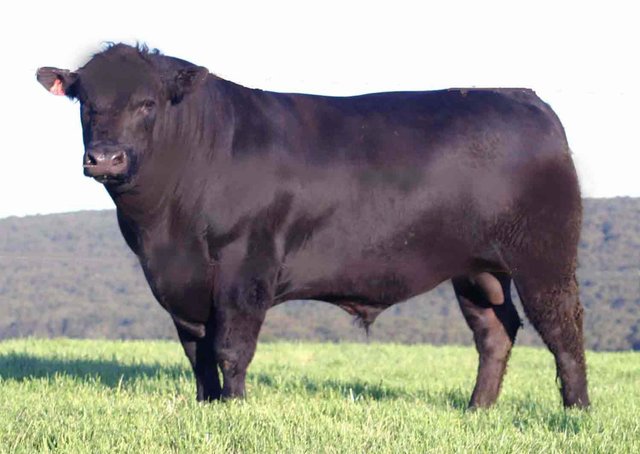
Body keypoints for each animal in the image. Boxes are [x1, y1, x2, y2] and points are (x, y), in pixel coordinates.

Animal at [37, 43, 588, 408]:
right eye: (85, 103)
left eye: (147, 103)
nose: (104, 158)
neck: (165, 229)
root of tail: (522, 96)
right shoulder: (177, 280)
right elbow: (196, 350)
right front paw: (207, 405)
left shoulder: (246, 264)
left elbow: (231, 347)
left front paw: (235, 409)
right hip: (475, 269)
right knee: (495, 331)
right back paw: (477, 410)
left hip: (544, 255)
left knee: (563, 328)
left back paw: (575, 412)